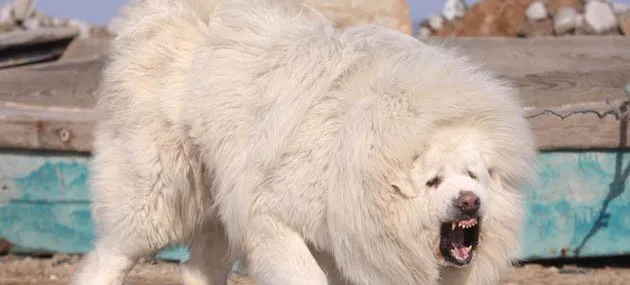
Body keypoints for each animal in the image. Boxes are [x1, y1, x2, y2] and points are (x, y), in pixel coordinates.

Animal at [73, 0, 540, 284]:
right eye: (433, 182)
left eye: (473, 176)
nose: (468, 202)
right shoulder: (269, 217)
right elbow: (304, 274)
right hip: (157, 195)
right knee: (114, 253)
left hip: (222, 200)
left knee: (197, 268)